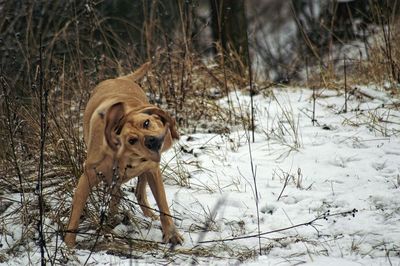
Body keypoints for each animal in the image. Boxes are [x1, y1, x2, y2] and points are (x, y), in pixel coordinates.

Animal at [65, 62, 184, 247]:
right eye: (132, 140)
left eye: (146, 123)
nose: (151, 141)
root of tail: (119, 78)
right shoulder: (86, 179)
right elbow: (75, 216)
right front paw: (68, 246)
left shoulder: (152, 170)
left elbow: (163, 206)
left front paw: (171, 233)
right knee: (119, 192)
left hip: (151, 169)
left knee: (139, 190)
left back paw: (146, 215)